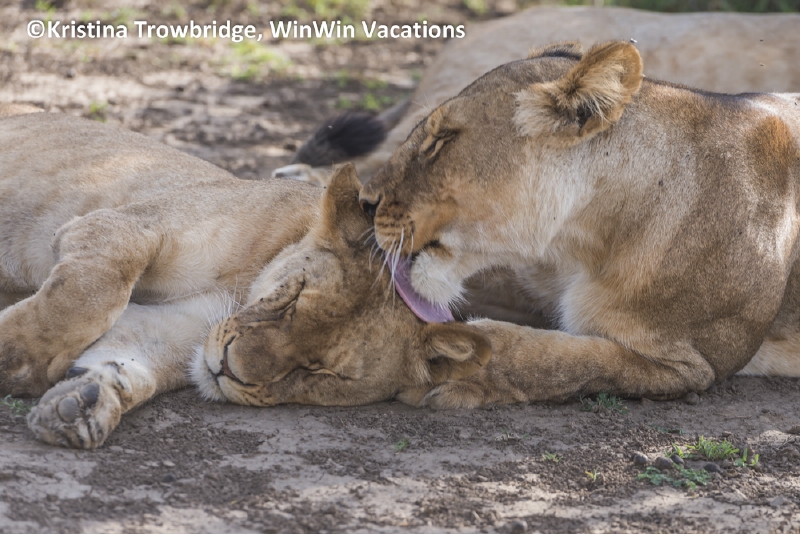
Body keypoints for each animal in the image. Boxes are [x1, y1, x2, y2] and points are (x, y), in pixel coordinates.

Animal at [0, 112, 490, 449]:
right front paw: (15, 356)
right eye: (294, 298)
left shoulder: (182, 328)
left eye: (320, 371)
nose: (226, 368)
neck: (241, 289)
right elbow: (89, 297)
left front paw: (81, 405)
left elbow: (127, 360)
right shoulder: (119, 227)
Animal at [356, 40, 800, 408]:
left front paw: (446, 363)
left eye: (441, 140)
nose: (363, 202)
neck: (583, 242)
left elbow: (561, 360)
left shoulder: (693, 362)